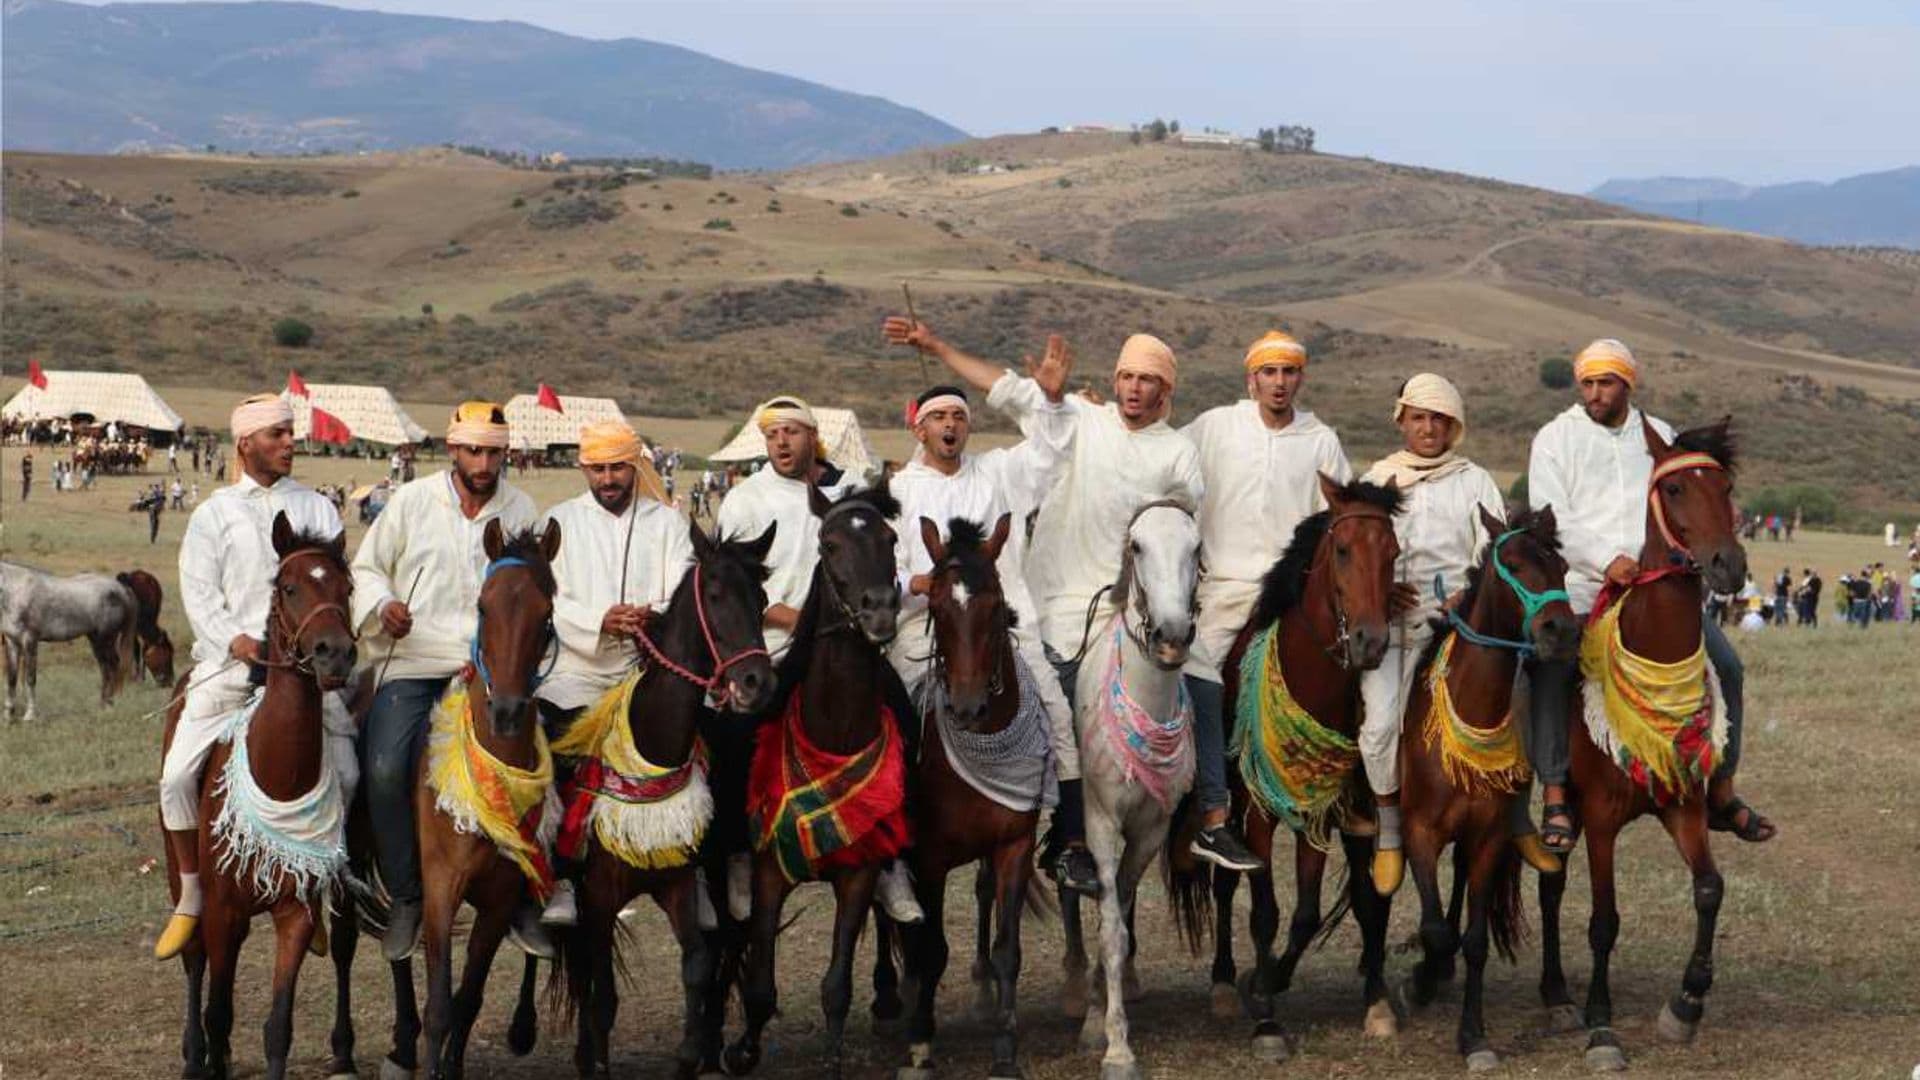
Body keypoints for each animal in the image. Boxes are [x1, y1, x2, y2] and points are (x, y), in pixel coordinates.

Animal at [1, 553, 140, 722]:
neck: (16, 592)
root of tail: (122, 589)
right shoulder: (12, 642)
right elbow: (11, 678)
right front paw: (8, 715)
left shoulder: (30, 641)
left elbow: (30, 678)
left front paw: (30, 715)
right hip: (95, 640)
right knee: (105, 669)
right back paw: (102, 705)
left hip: (105, 640)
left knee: (112, 666)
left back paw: (109, 706)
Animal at [160, 511, 357, 1076]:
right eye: (289, 587)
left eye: (347, 587)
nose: (335, 654)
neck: (280, 773)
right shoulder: (222, 913)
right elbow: (219, 1012)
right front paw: (207, 1055)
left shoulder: (294, 913)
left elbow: (277, 1028)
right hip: (186, 881)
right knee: (195, 959)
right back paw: (193, 1054)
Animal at [1397, 503, 1574, 1068]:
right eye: (1514, 565)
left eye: (1562, 567)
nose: (1562, 631)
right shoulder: (1419, 831)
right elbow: (1434, 930)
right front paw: (1421, 980)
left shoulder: (1489, 837)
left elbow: (1472, 940)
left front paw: (1472, 1035)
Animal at [1536, 413, 1751, 1068]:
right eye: (1675, 488)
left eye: (1727, 487)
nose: (1728, 566)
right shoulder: (1603, 821)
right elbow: (1604, 920)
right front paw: (1601, 1025)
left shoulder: (1684, 807)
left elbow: (1709, 889)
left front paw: (1687, 1002)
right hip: (1566, 811)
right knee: (1550, 882)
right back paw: (1557, 995)